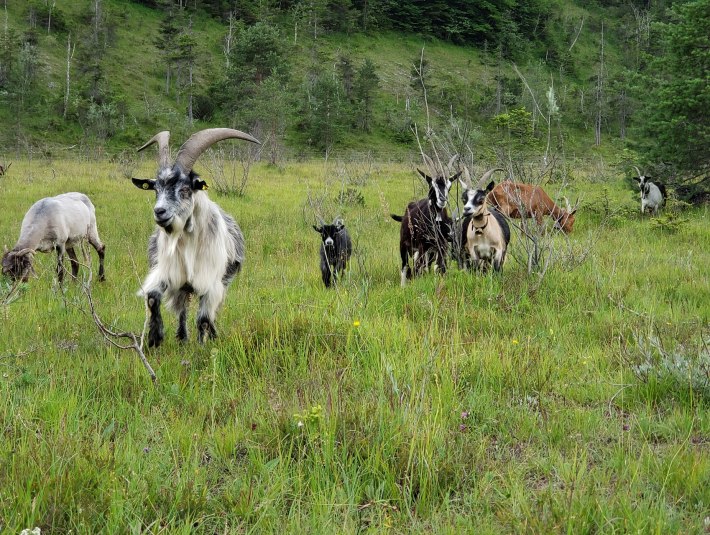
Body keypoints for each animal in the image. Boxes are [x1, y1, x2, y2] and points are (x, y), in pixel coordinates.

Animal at [132, 129, 260, 348]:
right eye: (156, 190)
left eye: (184, 189)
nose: (159, 212)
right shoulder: (168, 273)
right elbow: (153, 297)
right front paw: (155, 337)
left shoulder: (211, 282)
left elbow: (204, 318)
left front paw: (201, 346)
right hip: (184, 287)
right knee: (183, 310)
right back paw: (183, 338)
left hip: (222, 282)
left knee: (210, 313)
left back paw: (210, 336)